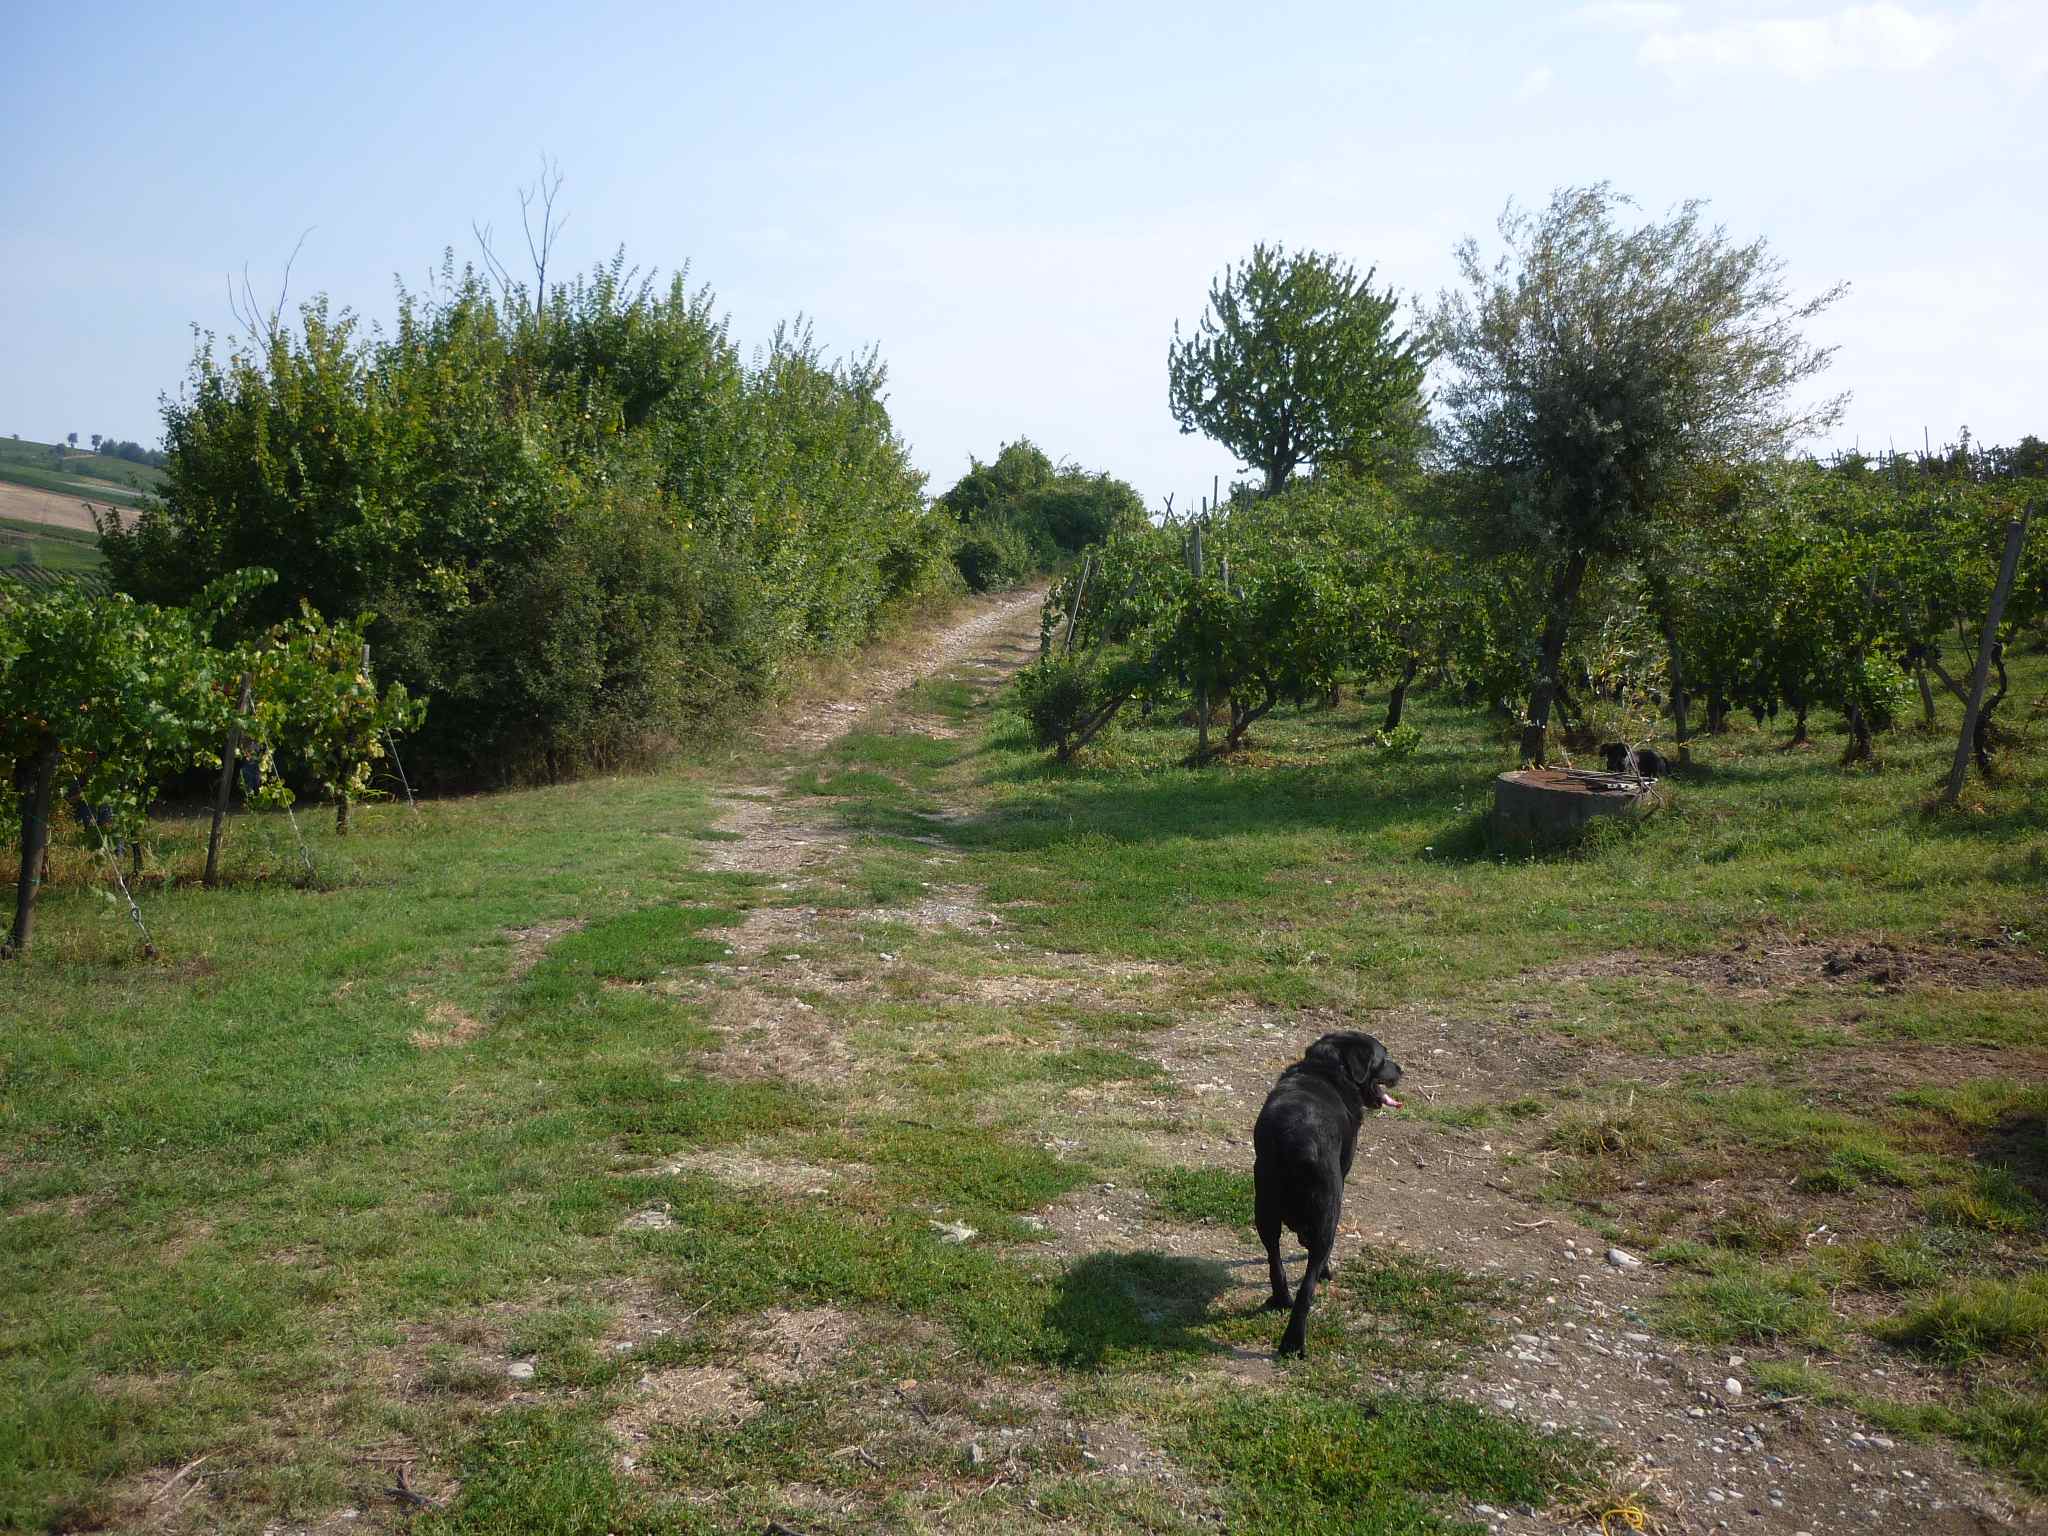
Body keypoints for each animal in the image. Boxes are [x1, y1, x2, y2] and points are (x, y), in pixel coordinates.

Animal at [1253, 1036, 1400, 1359]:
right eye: (1383, 1058)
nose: (1401, 1070)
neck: (1328, 1067)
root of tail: (1297, 1142)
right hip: (1329, 1214)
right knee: (1307, 1287)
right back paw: (1294, 1342)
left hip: (1264, 1210)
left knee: (1274, 1259)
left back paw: (1280, 1300)